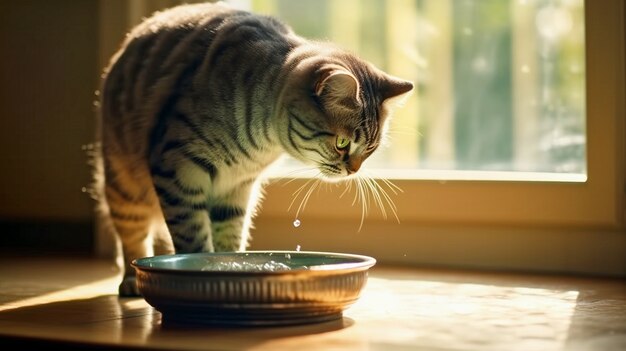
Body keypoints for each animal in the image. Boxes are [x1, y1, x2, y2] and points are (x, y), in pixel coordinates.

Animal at [95, 2, 412, 296]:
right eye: (343, 143)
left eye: (371, 149)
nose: (353, 170)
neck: (260, 144)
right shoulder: (178, 168)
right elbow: (194, 239)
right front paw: (203, 267)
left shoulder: (237, 188)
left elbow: (229, 239)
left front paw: (230, 265)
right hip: (124, 187)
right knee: (131, 239)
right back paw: (131, 280)